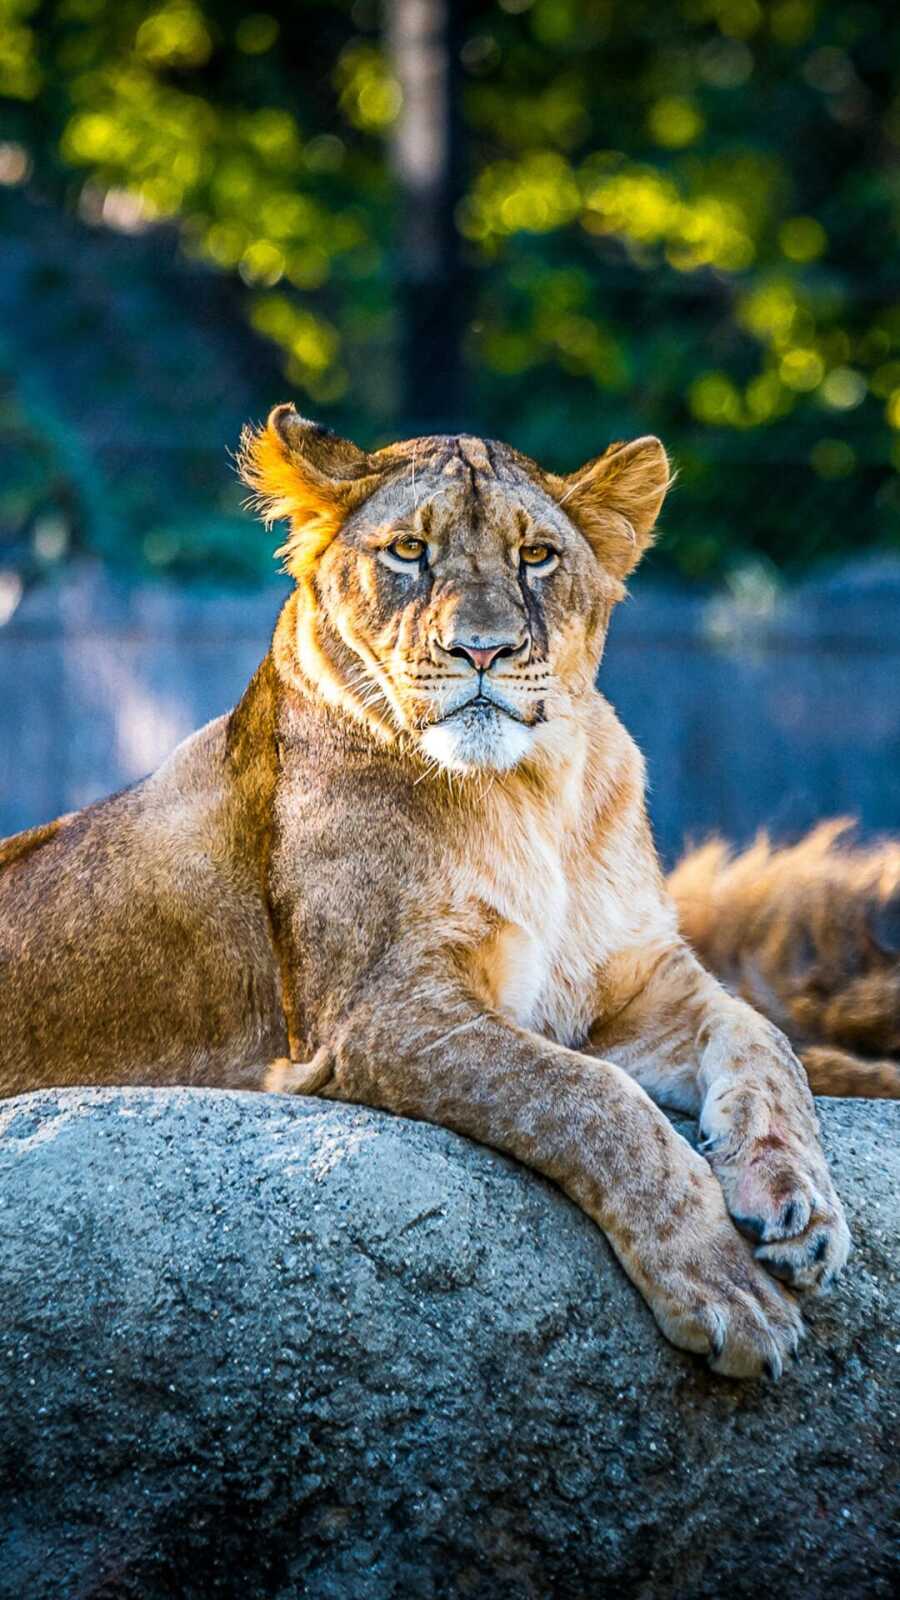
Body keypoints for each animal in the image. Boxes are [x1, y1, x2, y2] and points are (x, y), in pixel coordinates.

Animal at [2, 404, 896, 1378]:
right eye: (407, 552)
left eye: (536, 555)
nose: (483, 648)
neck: (532, 792)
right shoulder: (376, 1015)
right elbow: (588, 1098)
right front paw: (723, 1285)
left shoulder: (627, 985)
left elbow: (764, 1037)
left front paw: (795, 1203)